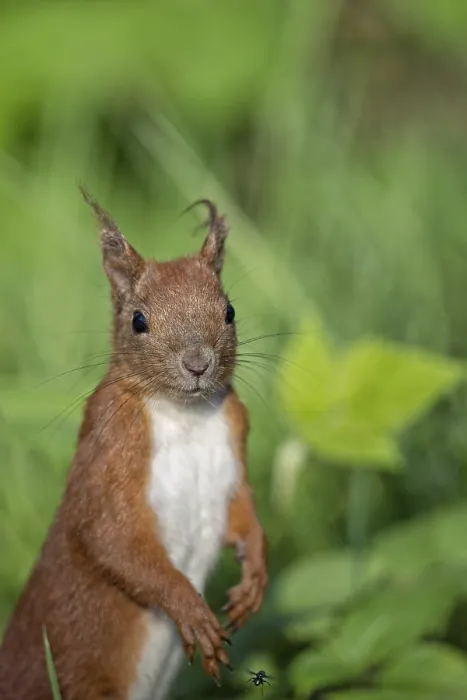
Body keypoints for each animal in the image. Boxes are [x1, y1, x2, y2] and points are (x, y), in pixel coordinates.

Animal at [0, 191, 268, 700]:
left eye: (229, 311)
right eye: (138, 321)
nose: (198, 363)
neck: (187, 415)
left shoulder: (234, 447)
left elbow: (243, 513)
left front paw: (255, 578)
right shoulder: (109, 450)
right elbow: (110, 539)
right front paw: (191, 611)